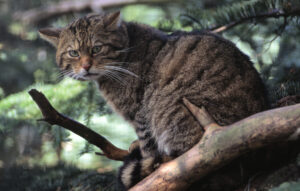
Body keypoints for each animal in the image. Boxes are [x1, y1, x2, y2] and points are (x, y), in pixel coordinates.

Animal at [39, 11, 268, 190]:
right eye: (73, 53)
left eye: (97, 48)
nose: (86, 66)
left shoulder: (140, 111)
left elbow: (147, 142)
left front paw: (145, 156)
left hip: (171, 109)